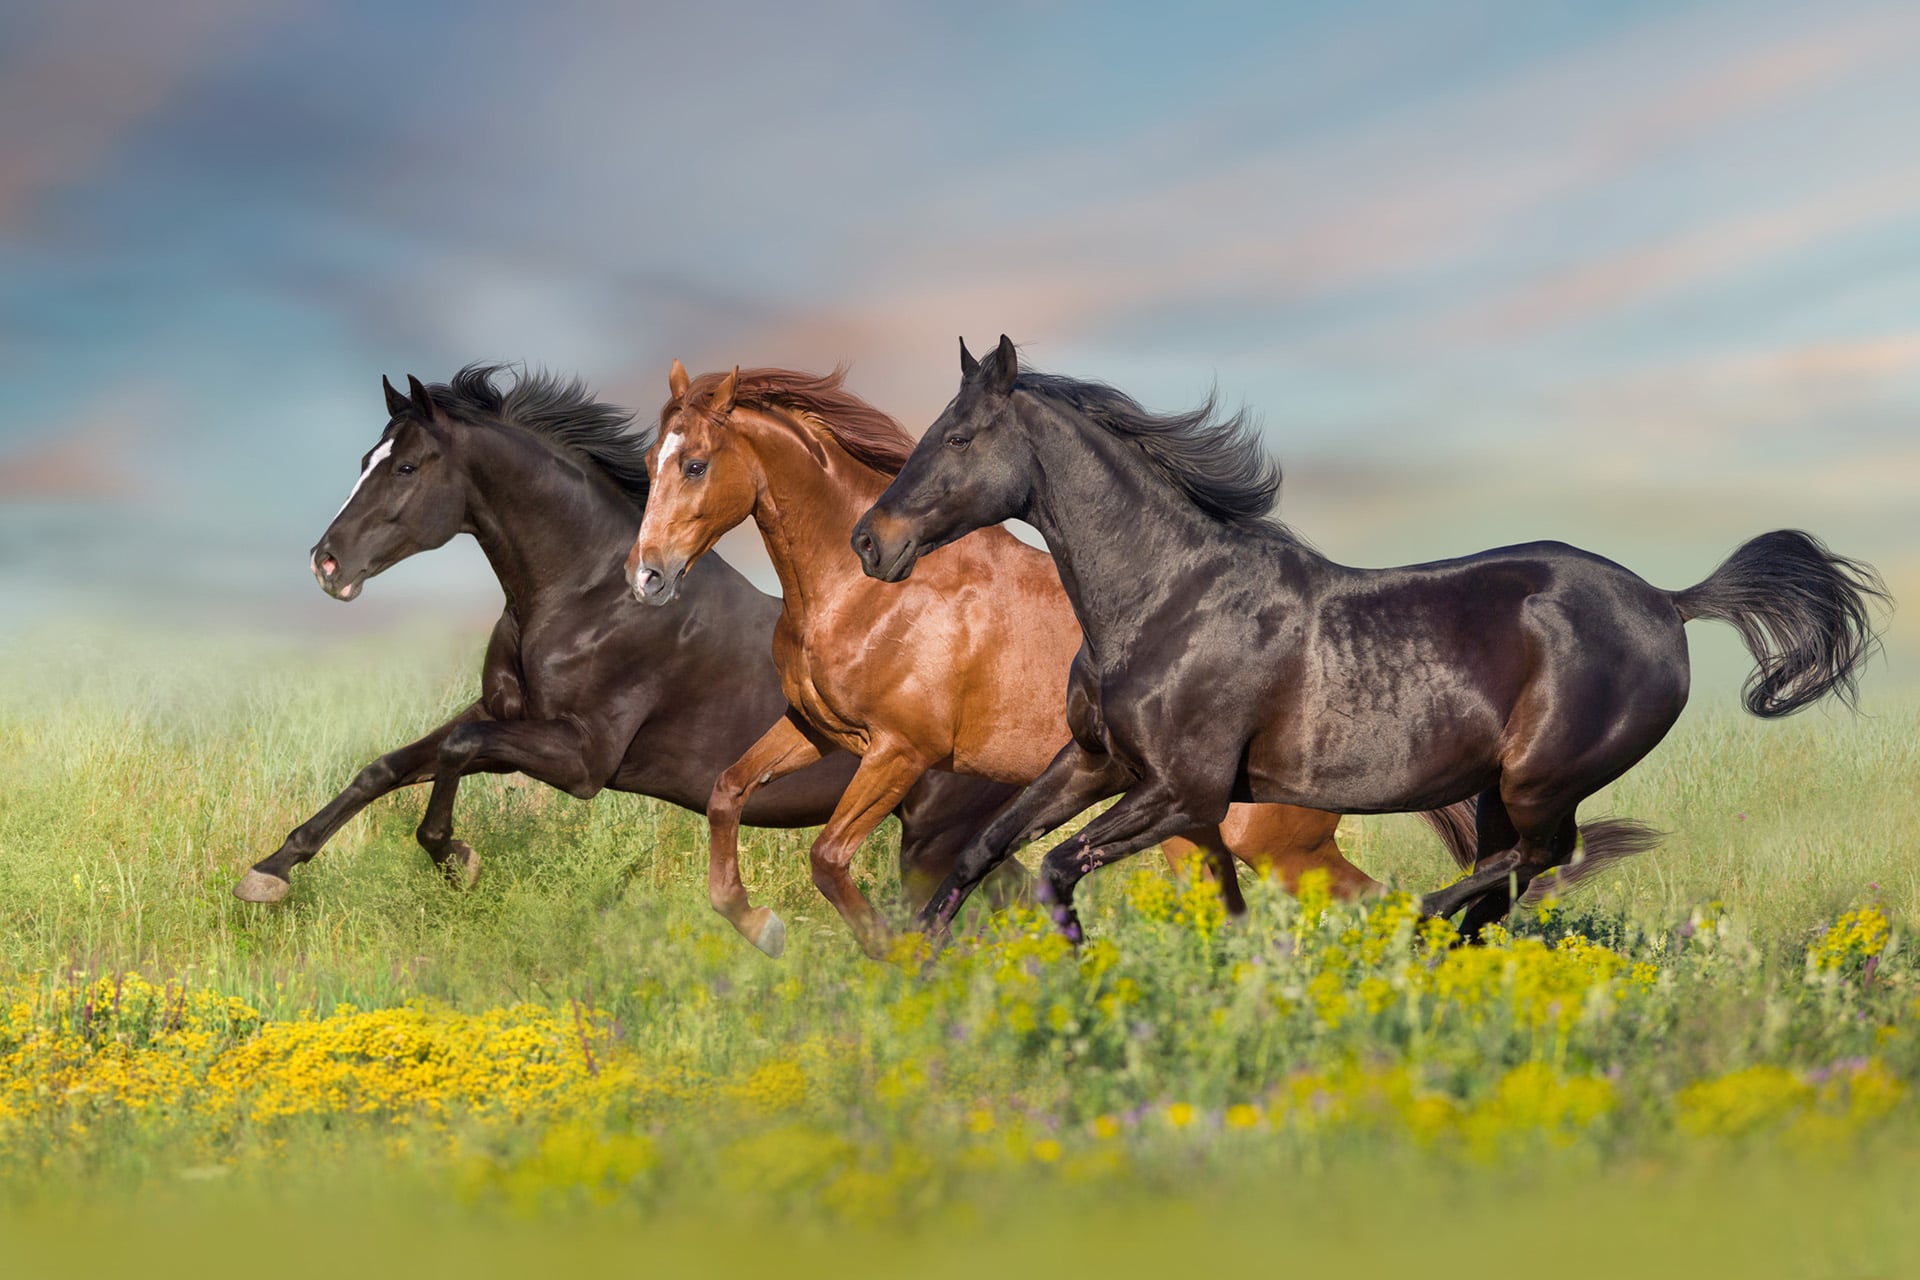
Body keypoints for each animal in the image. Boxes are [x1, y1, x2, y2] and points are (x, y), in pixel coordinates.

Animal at [240, 360, 1021, 951]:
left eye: (405, 467)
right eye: (365, 461)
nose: (326, 563)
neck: (583, 594)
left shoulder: (582, 759)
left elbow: (457, 751)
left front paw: (457, 859)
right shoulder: (505, 713)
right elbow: (386, 768)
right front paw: (270, 873)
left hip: (929, 842)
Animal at [622, 364, 1474, 955]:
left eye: (695, 463)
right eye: (653, 458)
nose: (647, 575)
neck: (856, 595)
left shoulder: (900, 752)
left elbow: (829, 859)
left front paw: (890, 955)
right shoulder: (819, 732)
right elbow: (728, 793)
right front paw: (759, 926)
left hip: (1270, 841)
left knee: (1381, 901)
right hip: (1196, 835)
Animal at [860, 337, 1889, 940]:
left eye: (960, 436)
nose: (873, 541)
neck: (1167, 598)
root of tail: (1670, 602)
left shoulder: (1181, 788)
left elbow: (1058, 867)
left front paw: (1077, 955)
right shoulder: (1100, 761)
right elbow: (985, 851)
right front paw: (918, 965)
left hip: (1538, 779)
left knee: (1536, 864)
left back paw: (1407, 925)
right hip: (1499, 791)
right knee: (1506, 883)